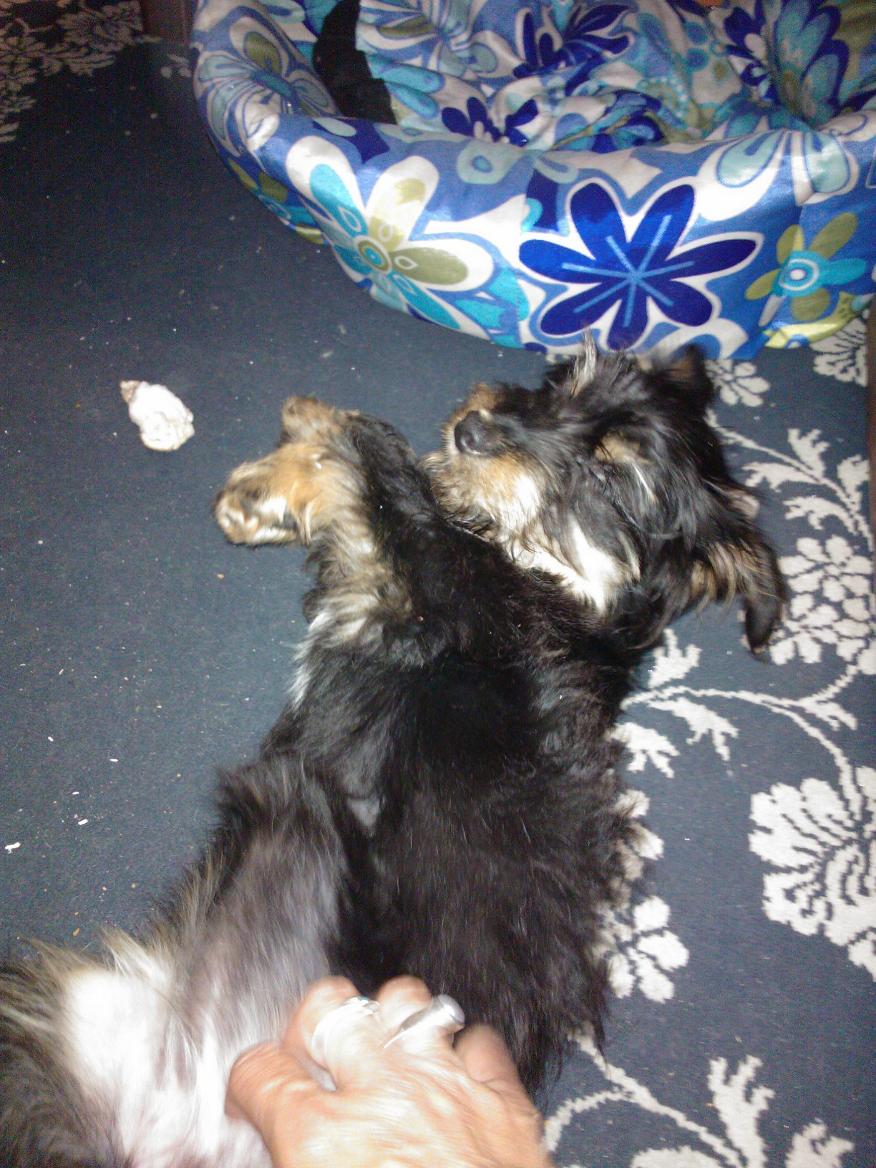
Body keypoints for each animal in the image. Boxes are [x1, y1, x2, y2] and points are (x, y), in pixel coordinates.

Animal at [0, 342, 784, 1168]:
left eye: (607, 477)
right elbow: (384, 485)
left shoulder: (428, 588)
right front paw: (275, 488)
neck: (561, 591)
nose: (475, 428)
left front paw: (307, 430)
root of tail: (178, 1120)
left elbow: (383, 464)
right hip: (57, 1020)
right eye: (560, 383)